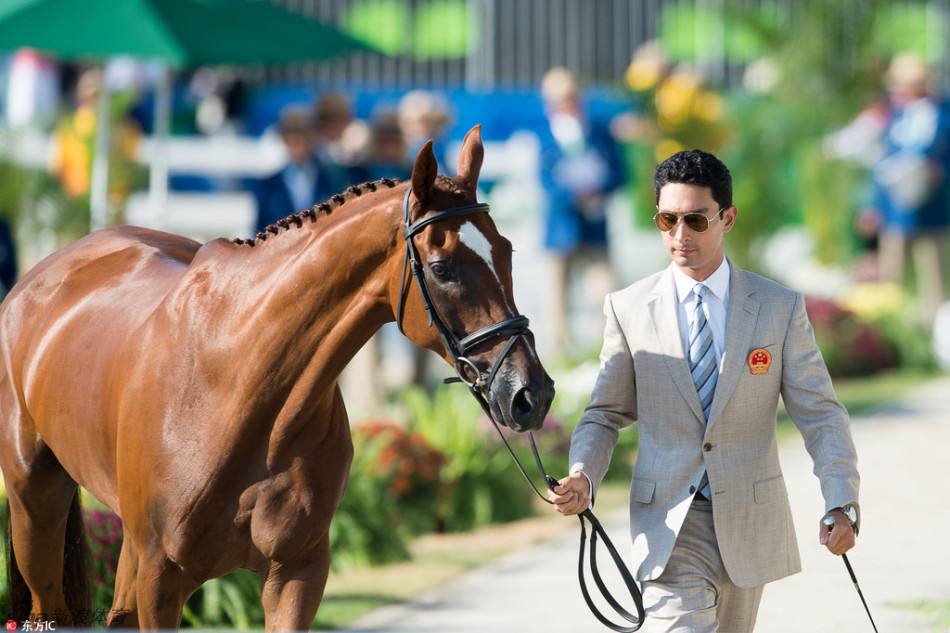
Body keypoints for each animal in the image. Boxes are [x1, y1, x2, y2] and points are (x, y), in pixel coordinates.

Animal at [0, 126, 556, 628]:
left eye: (506, 250)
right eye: (442, 268)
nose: (532, 394)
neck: (242, 390)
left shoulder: (297, 571)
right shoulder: (161, 578)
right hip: (36, 505)